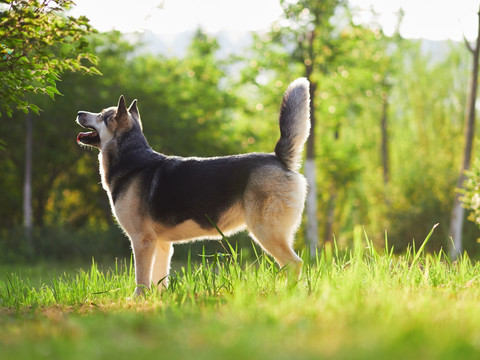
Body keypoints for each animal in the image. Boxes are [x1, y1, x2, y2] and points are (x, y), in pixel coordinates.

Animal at [76, 77, 312, 294]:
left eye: (101, 115)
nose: (79, 112)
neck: (132, 159)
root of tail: (279, 159)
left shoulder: (142, 241)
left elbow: (141, 279)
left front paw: (137, 300)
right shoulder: (161, 244)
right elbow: (159, 279)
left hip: (265, 231)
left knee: (294, 263)